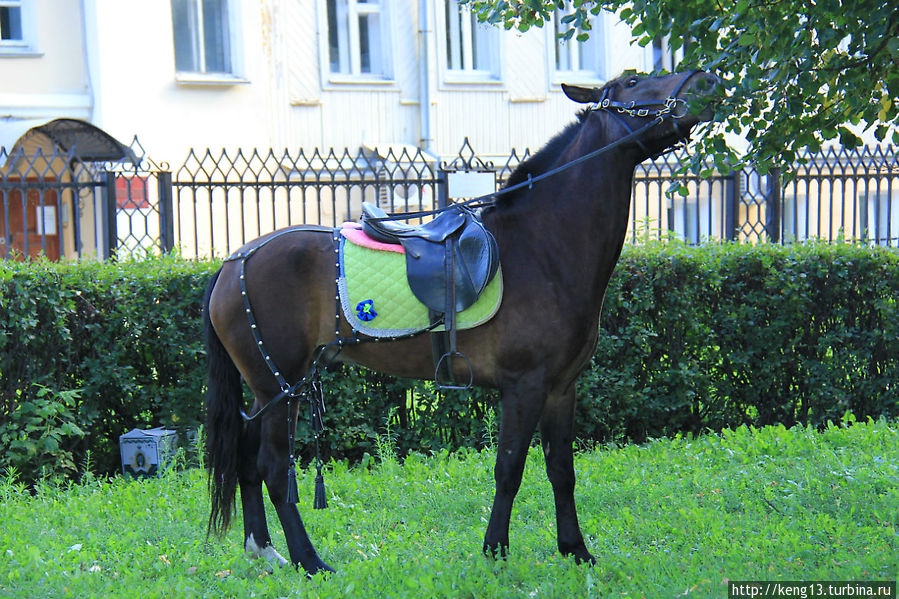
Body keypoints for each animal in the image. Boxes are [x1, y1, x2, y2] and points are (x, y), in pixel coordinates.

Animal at [202, 68, 716, 576]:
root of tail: (233, 262)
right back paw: (309, 561)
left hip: (268, 390)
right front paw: (495, 551)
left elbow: (561, 471)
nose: (705, 80)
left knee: (247, 460)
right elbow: (509, 469)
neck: (541, 246)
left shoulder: (560, 388)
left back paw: (264, 550)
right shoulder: (524, 386)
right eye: (632, 83)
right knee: (274, 469)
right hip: (280, 386)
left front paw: (575, 550)